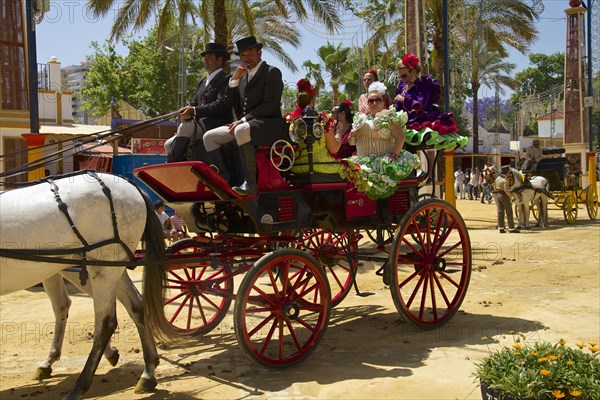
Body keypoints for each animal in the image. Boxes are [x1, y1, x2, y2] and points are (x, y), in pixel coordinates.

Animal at [1, 172, 176, 400]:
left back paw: (80, 386)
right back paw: (148, 374)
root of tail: (130, 186)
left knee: (105, 324)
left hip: (102, 269)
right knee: (135, 307)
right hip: (106, 266)